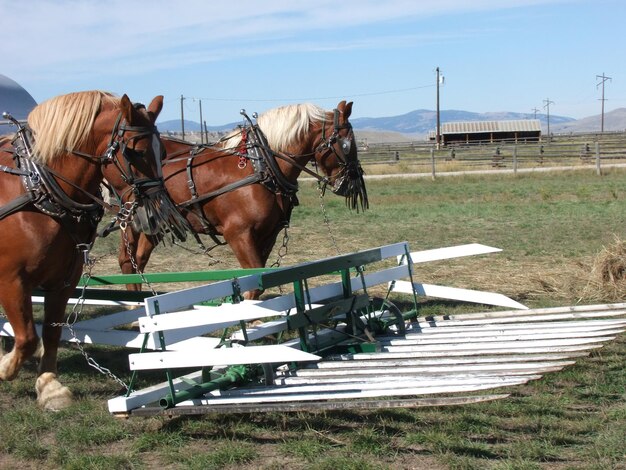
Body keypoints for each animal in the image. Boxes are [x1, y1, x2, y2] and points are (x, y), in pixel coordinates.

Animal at [0, 90, 185, 410]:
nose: (157, 216)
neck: (37, 190)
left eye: (163, 152)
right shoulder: (11, 279)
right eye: (135, 152)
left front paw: (49, 386)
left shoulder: (65, 278)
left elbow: (51, 330)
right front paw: (5, 368)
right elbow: (27, 338)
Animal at [118, 100, 366, 298]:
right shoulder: (238, 233)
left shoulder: (268, 234)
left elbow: (258, 279)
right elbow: (254, 281)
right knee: (127, 262)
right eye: (347, 143)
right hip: (132, 221)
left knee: (138, 260)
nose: (353, 181)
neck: (261, 165)